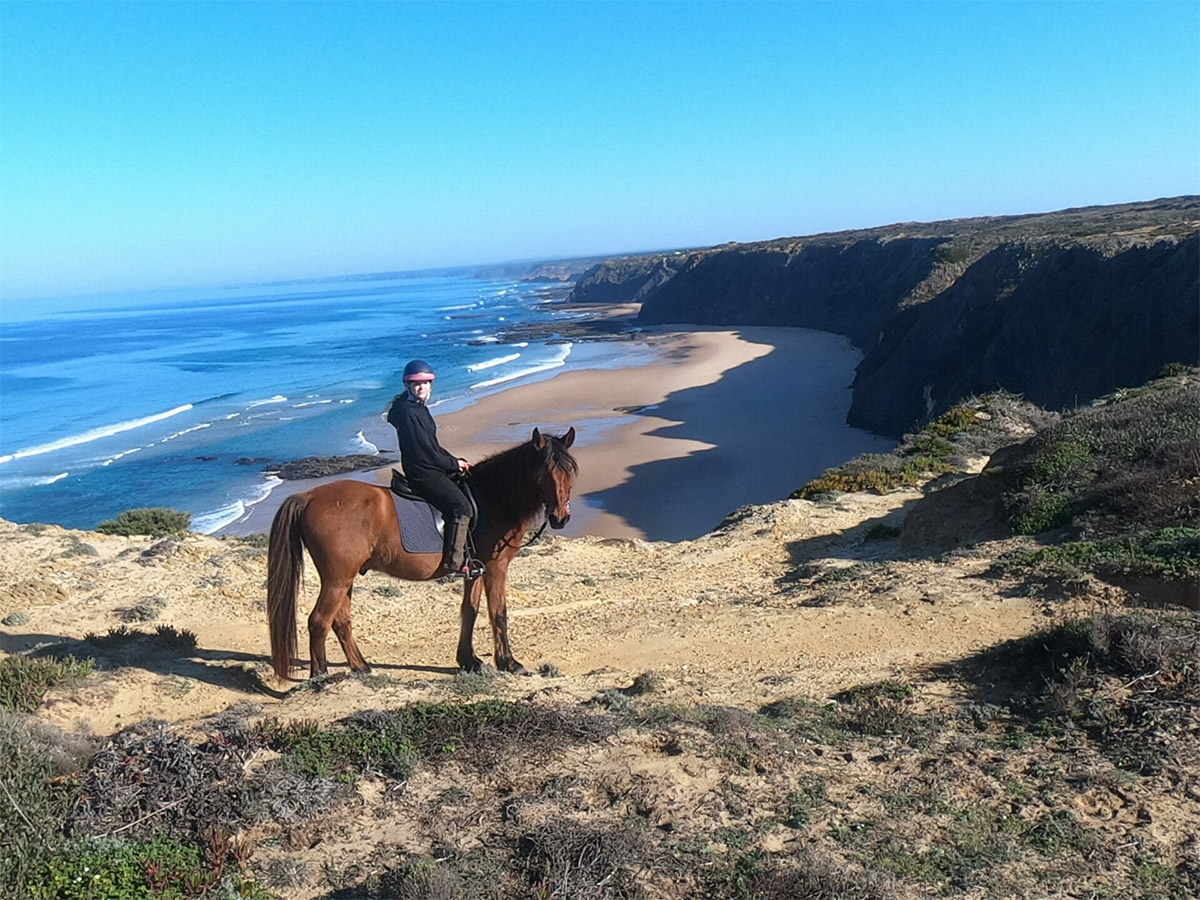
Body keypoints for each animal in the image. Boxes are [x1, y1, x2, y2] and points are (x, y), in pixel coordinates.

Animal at [266, 427, 577, 680]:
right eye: (544, 473)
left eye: (570, 473)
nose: (560, 518)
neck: (492, 498)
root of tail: (307, 497)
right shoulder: (495, 567)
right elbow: (498, 614)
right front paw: (510, 663)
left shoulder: (475, 571)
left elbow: (470, 611)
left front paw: (469, 661)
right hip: (336, 579)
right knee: (319, 621)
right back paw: (320, 677)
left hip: (345, 579)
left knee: (340, 621)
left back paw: (361, 667)